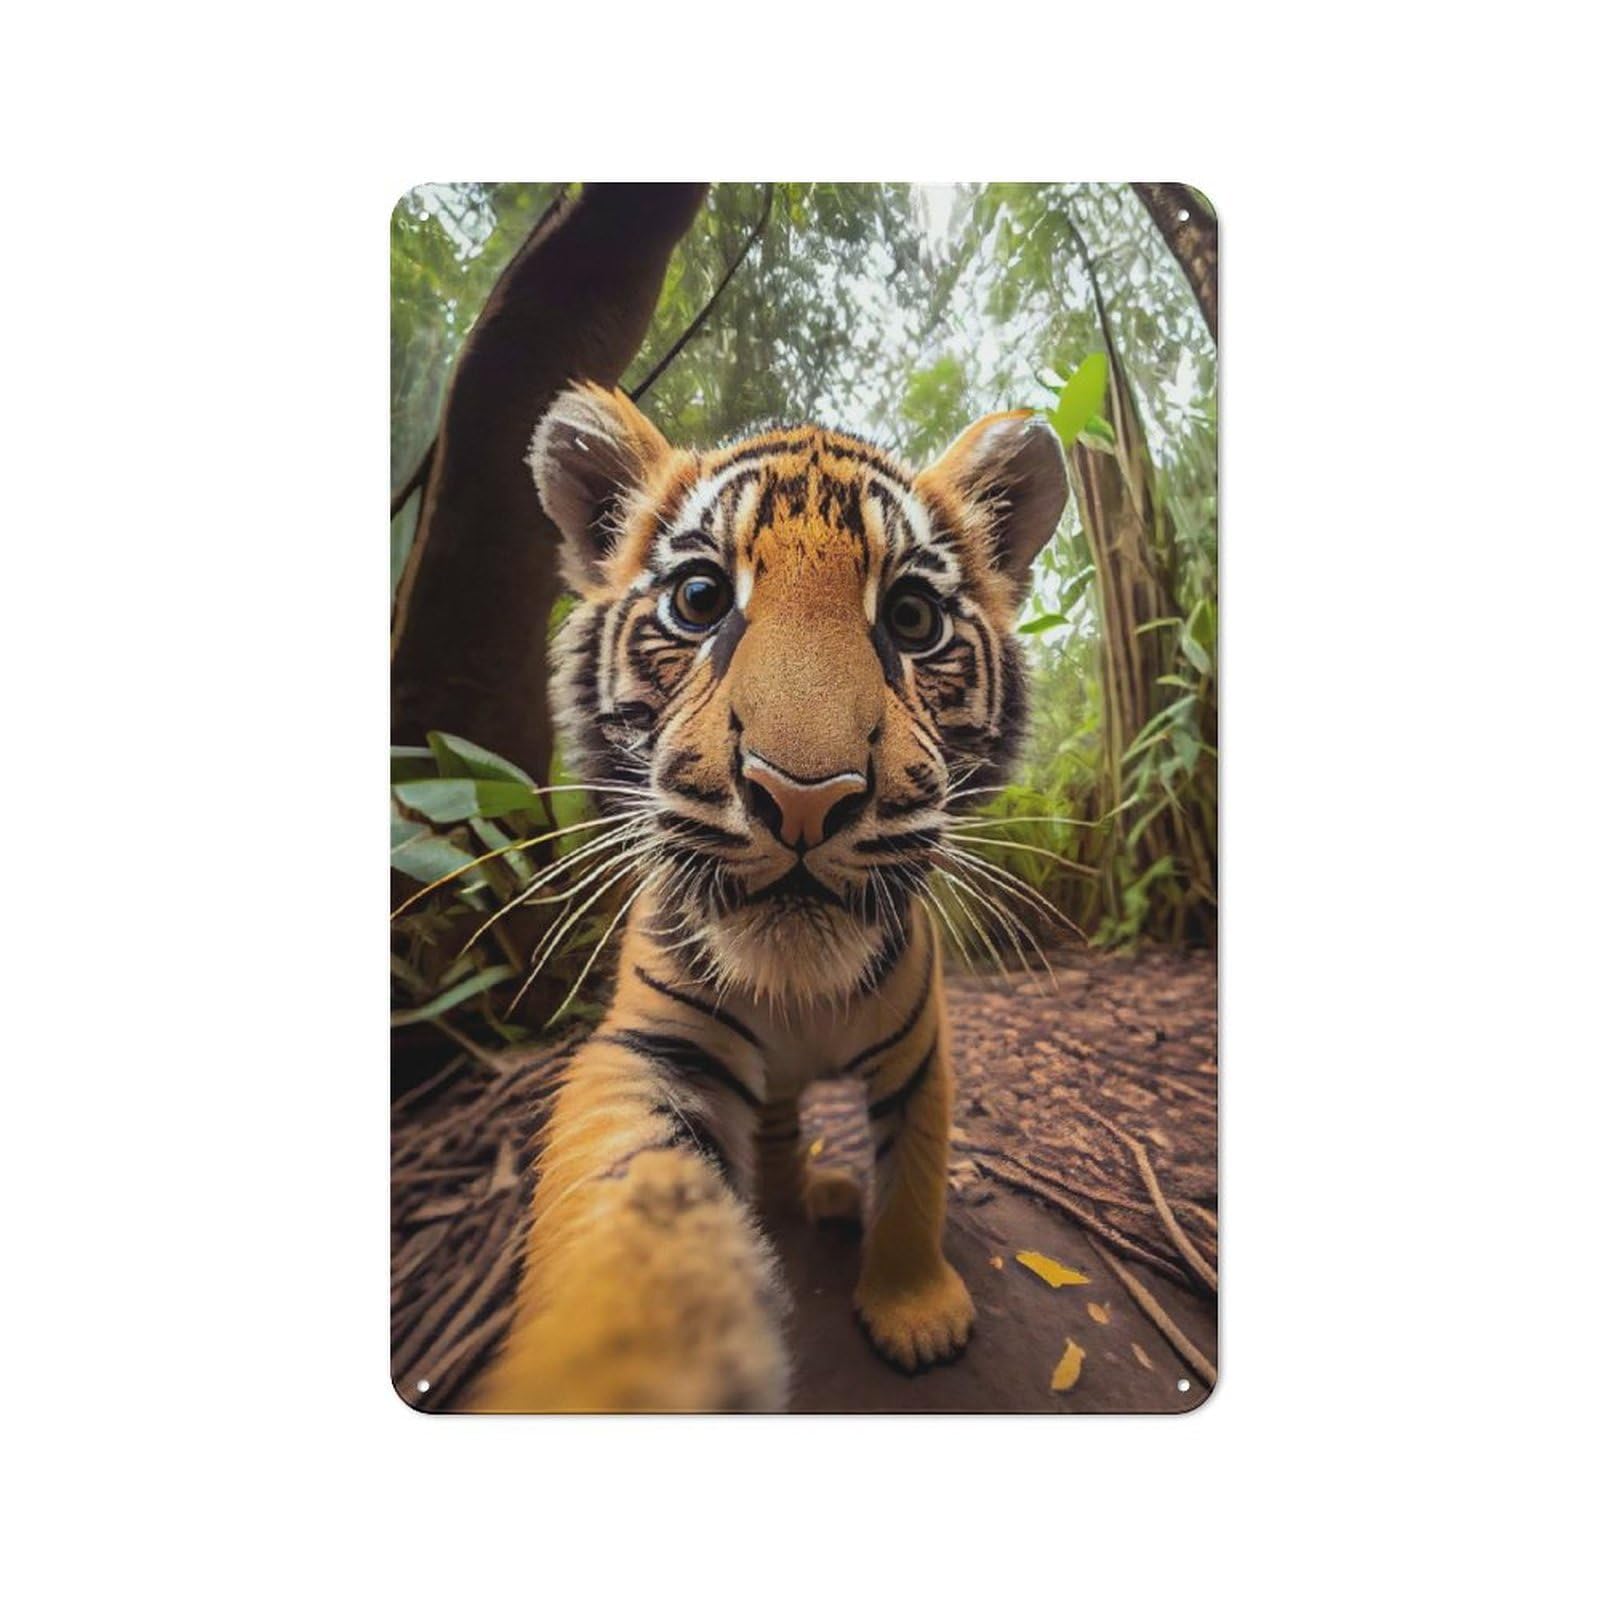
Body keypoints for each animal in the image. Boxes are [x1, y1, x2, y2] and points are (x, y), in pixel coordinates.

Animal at [471, 381, 1068, 1412]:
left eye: (912, 619)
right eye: (700, 599)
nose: (803, 797)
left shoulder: (920, 1050)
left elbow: (915, 1182)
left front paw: (916, 1310)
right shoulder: (653, 1045)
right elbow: (630, 1195)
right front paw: (604, 1357)